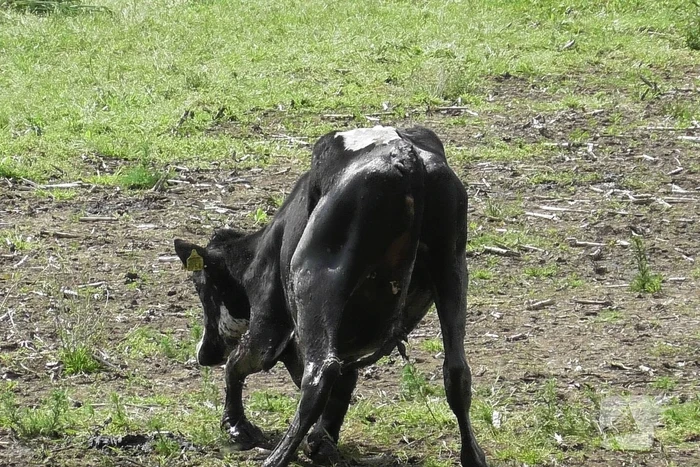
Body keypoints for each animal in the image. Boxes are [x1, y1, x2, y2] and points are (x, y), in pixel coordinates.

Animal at [174, 126, 487, 467]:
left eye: (201, 287)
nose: (204, 354)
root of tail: (405, 155)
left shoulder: (268, 324)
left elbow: (238, 364)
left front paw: (236, 426)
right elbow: (344, 382)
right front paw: (322, 440)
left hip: (312, 276)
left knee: (319, 374)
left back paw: (277, 457)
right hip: (451, 269)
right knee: (456, 371)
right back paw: (473, 455)